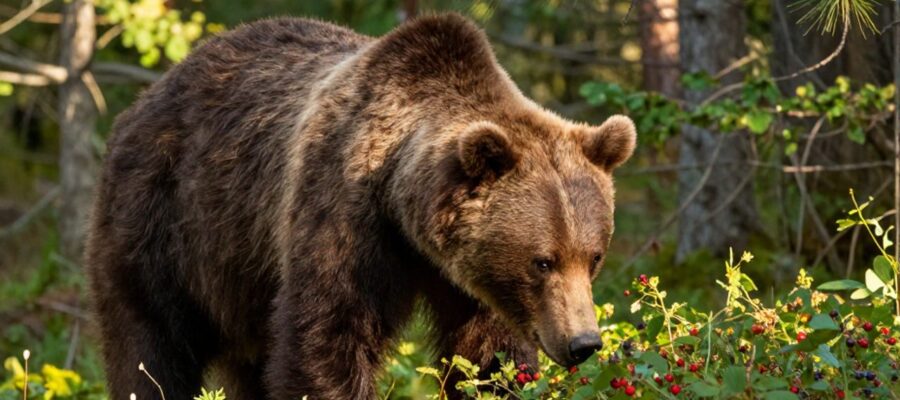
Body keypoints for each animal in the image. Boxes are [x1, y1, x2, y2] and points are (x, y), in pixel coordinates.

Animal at [85, 13, 636, 400]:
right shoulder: (343, 214)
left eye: (594, 257)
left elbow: (485, 357)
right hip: (162, 220)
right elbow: (326, 337)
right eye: (542, 261)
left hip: (240, 274)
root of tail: (145, 97)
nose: (583, 343)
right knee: (149, 345)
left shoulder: (473, 280)